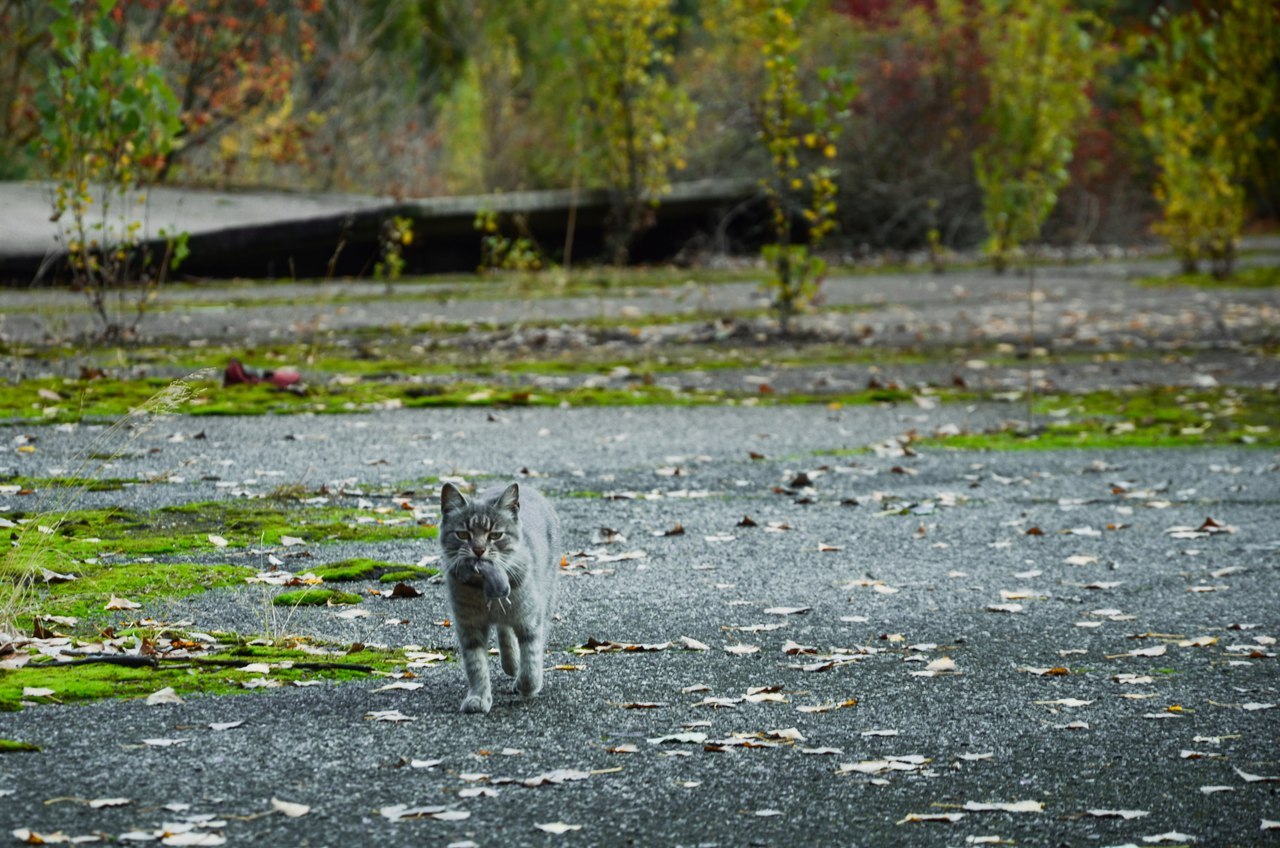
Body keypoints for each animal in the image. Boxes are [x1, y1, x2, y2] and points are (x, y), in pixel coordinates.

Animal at [440, 481, 560, 712]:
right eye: (463, 535)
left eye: (495, 535)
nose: (478, 550)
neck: (483, 587)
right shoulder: (469, 626)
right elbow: (476, 664)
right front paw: (478, 697)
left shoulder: (530, 620)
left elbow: (531, 658)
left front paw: (526, 685)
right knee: (504, 631)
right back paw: (511, 662)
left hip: (546, 597)